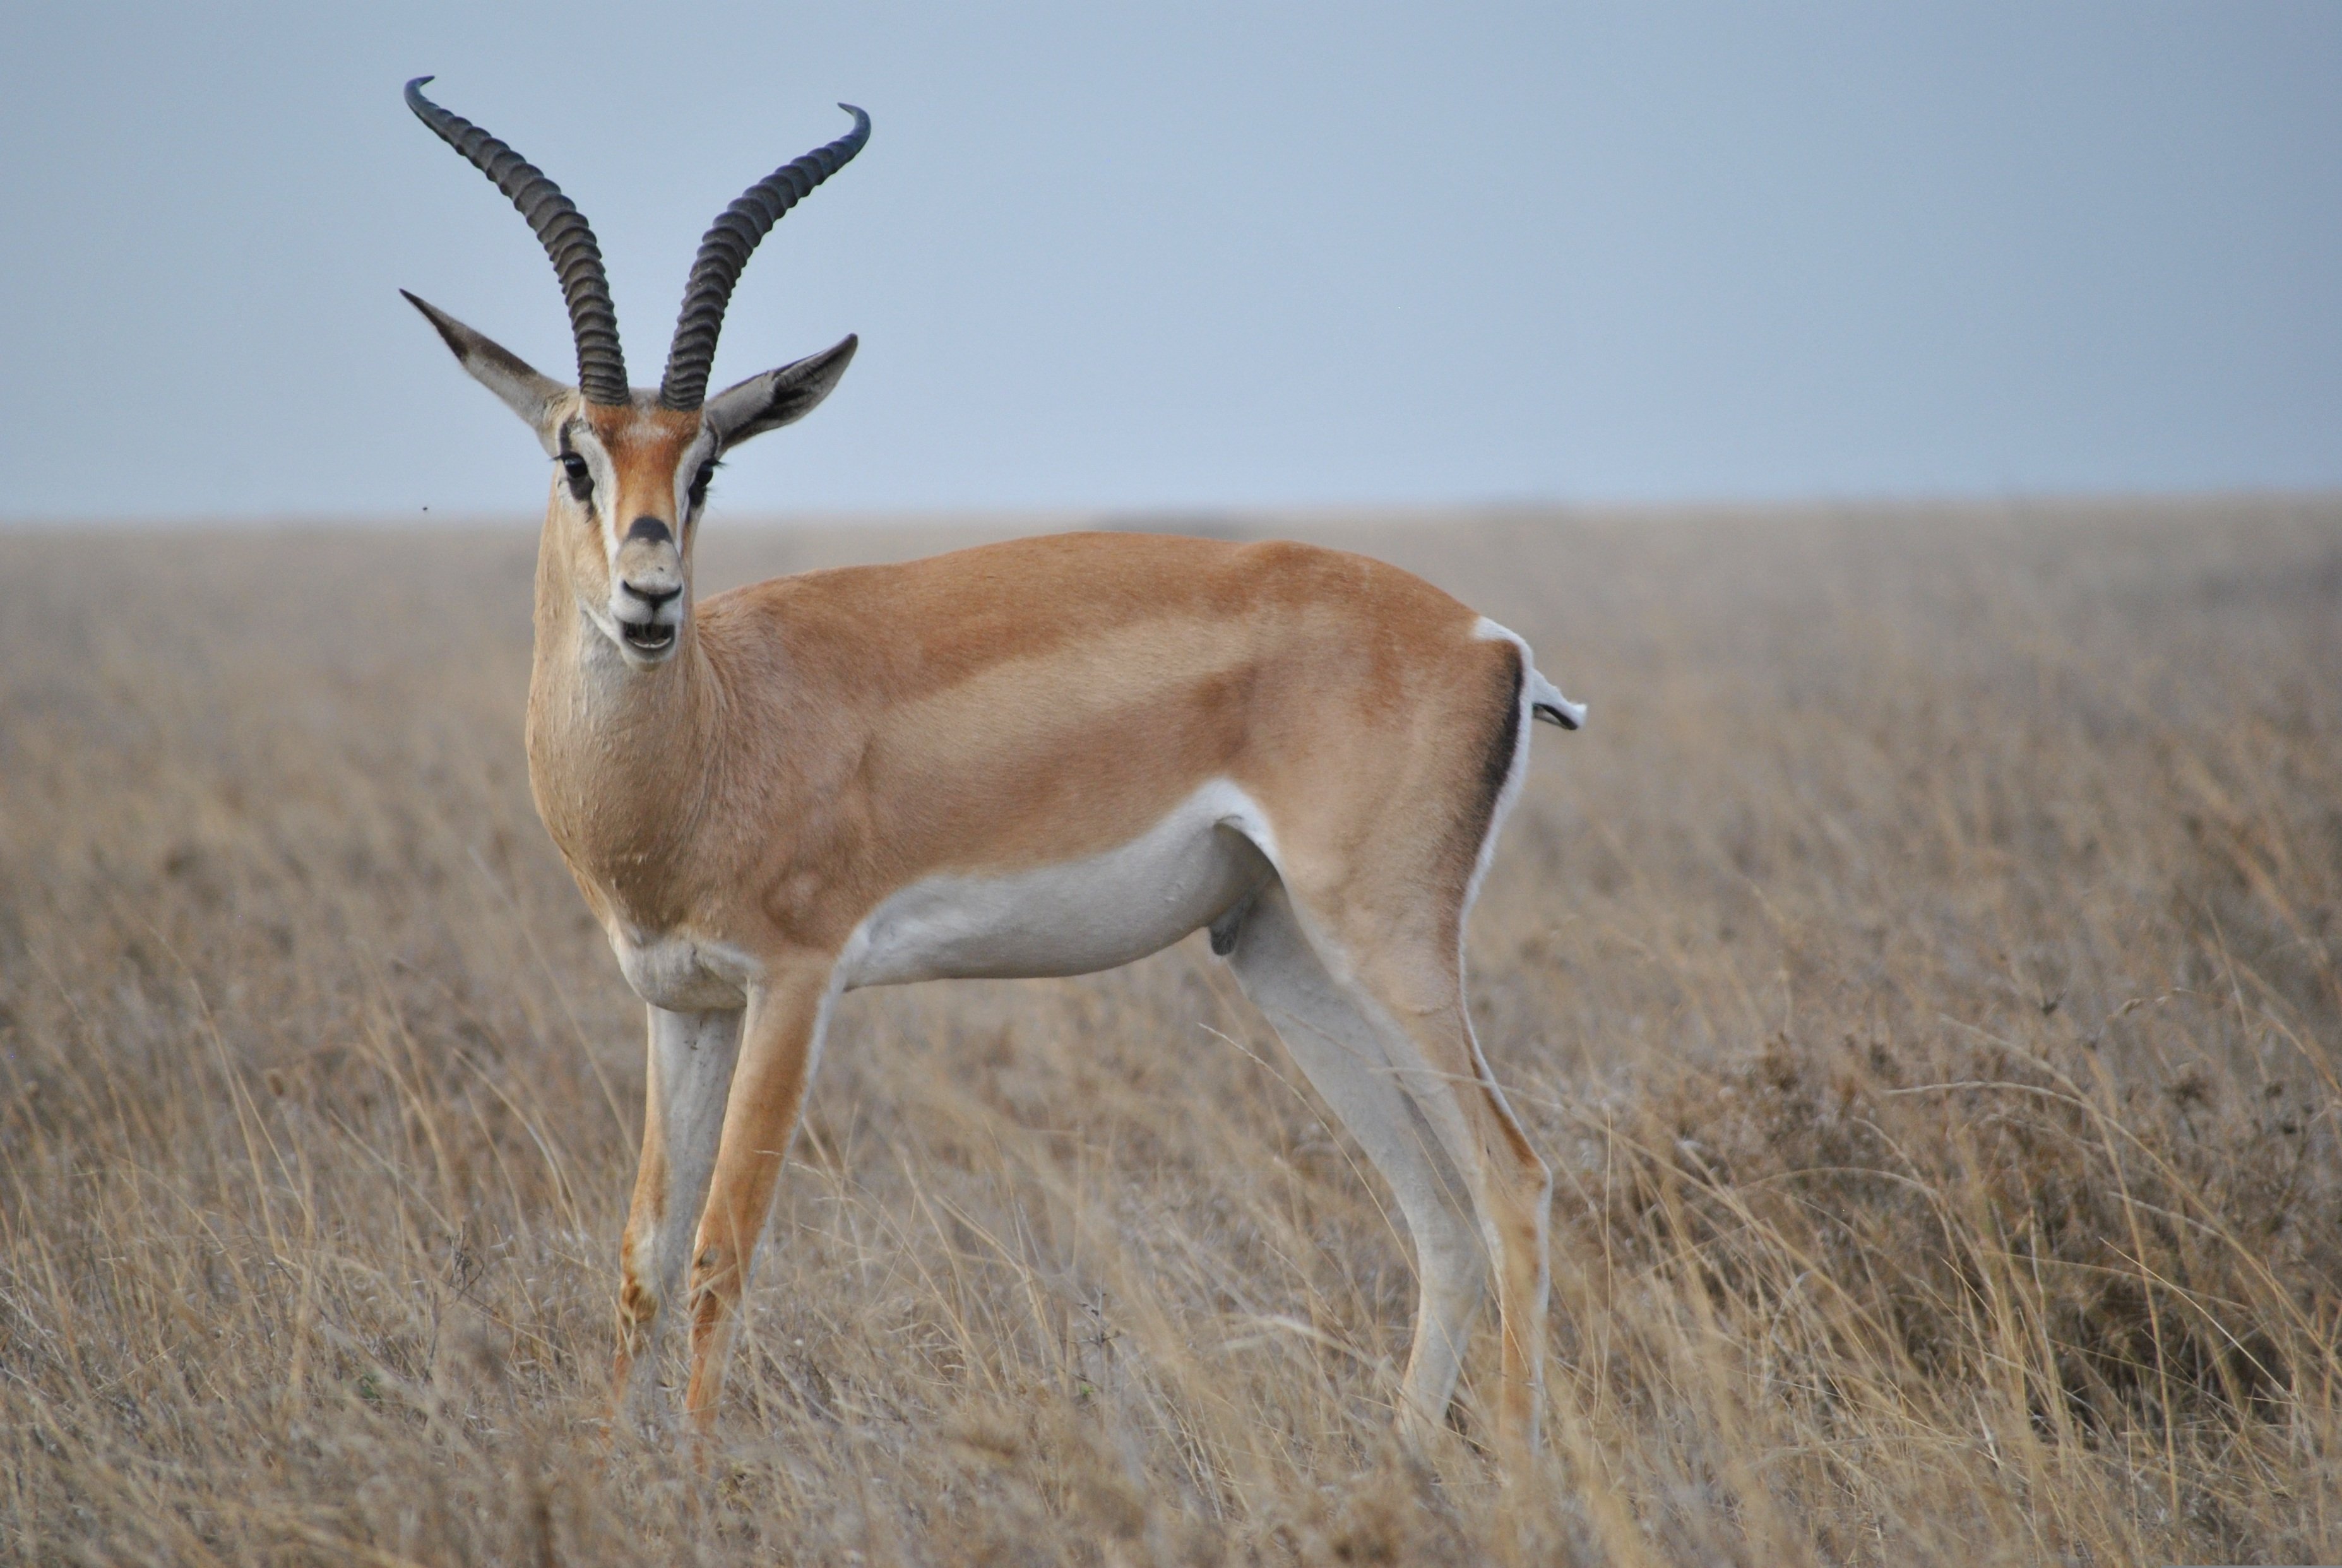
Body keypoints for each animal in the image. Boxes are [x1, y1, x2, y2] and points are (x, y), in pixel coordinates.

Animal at [402, 77, 1586, 1458]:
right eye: (573, 456)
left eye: (708, 465)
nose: (651, 597)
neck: (719, 726)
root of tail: (1491, 640)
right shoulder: (680, 1003)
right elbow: (642, 1256)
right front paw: (608, 1473)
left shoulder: (795, 982)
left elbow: (721, 1250)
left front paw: (695, 1474)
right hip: (1281, 951)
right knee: (1437, 1211)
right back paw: (1400, 1467)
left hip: (1386, 939)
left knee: (1512, 1180)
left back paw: (1514, 1471)